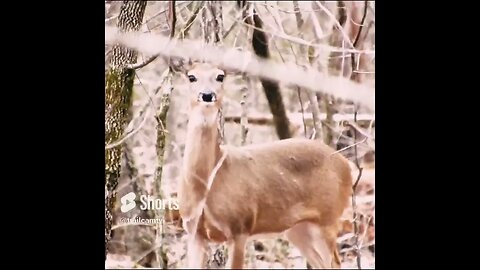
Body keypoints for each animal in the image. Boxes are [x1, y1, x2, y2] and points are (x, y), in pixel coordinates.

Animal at [176, 62, 352, 268]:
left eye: (220, 76)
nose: (207, 94)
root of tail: (346, 164)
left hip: (328, 219)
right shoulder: (194, 232)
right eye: (191, 76)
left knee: (335, 262)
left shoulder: (240, 227)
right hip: (299, 228)